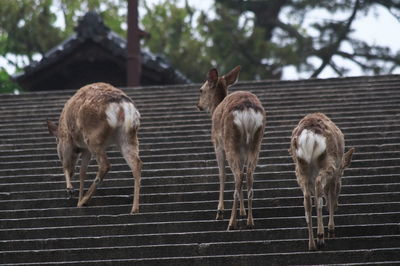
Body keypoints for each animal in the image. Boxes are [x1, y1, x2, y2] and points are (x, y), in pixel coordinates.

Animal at [46, 82, 143, 213]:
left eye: (56, 141)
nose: (71, 173)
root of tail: (122, 106)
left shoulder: (67, 140)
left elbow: (66, 165)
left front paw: (70, 190)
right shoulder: (85, 149)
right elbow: (82, 172)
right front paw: (77, 198)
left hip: (92, 137)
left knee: (105, 165)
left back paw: (84, 200)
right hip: (127, 135)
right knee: (137, 164)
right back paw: (134, 209)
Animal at [196, 65, 266, 230]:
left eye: (201, 90)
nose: (198, 105)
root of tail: (248, 111)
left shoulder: (217, 143)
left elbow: (222, 175)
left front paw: (220, 211)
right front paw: (242, 211)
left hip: (230, 141)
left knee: (238, 175)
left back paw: (231, 222)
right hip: (255, 143)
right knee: (248, 175)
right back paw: (250, 221)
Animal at [290, 113, 354, 250]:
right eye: (342, 174)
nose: (337, 206)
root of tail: (308, 135)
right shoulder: (335, 175)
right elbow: (331, 195)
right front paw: (331, 227)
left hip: (300, 168)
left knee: (307, 200)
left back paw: (311, 244)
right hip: (328, 163)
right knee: (319, 186)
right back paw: (320, 236)